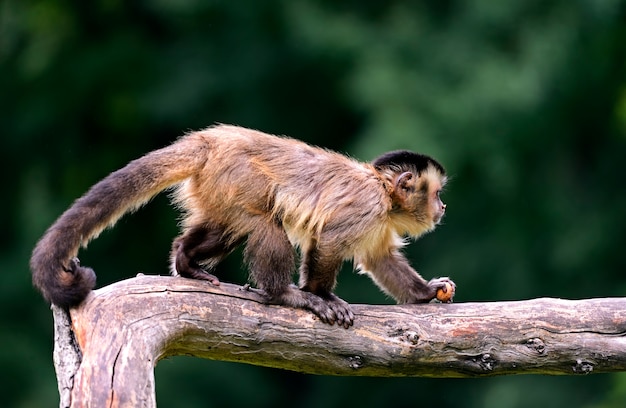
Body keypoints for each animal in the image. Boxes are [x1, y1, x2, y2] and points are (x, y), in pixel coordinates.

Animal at [29, 124, 454, 328]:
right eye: (435, 193)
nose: (443, 205)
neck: (384, 193)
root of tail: (210, 141)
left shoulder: (380, 222)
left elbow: (380, 259)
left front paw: (426, 293)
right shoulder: (368, 209)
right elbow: (329, 242)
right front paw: (319, 296)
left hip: (216, 186)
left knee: (229, 226)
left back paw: (186, 262)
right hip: (236, 174)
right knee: (266, 220)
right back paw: (283, 295)